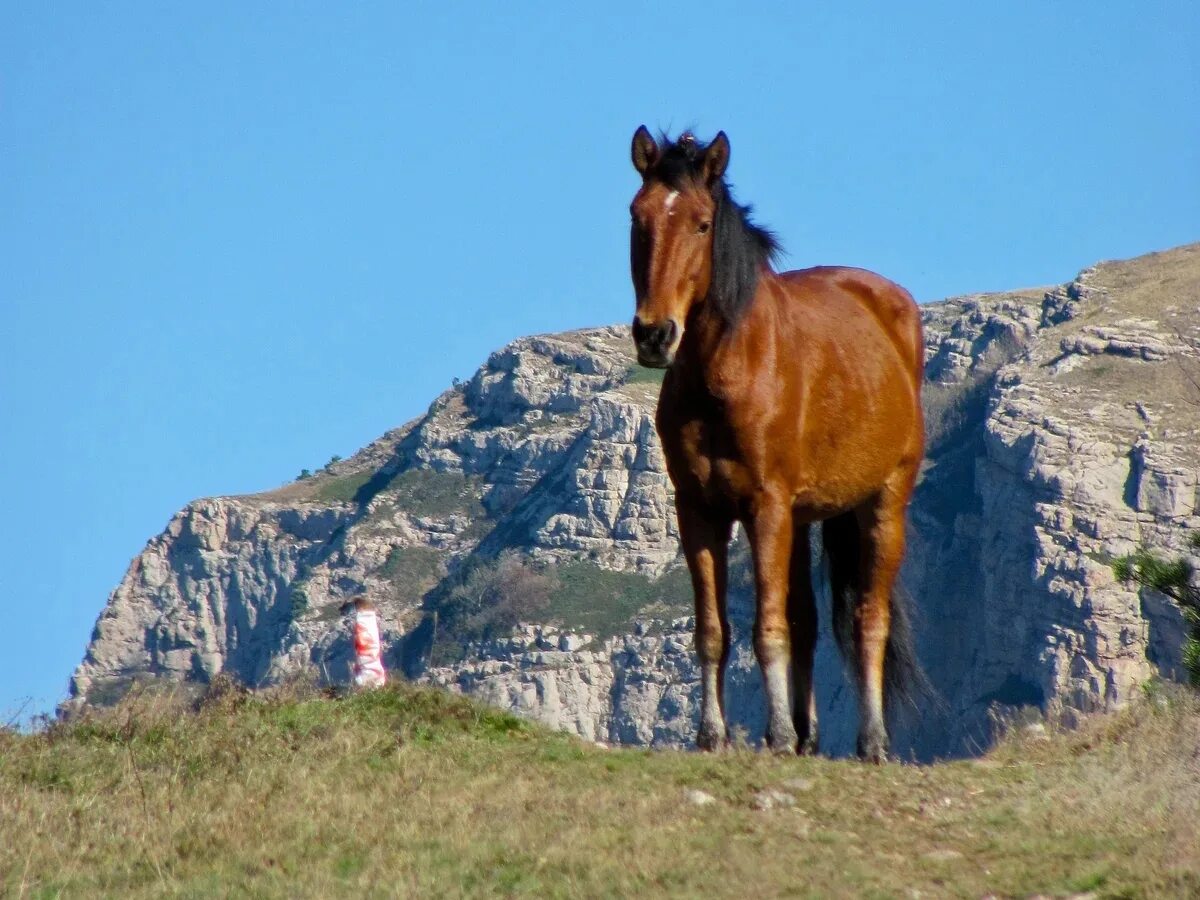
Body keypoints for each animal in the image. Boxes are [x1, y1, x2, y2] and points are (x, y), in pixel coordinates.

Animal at [628, 127, 926, 763]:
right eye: (638, 217)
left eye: (702, 224)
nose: (655, 334)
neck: (727, 371)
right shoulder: (699, 510)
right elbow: (713, 631)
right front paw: (713, 735)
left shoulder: (766, 508)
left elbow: (769, 630)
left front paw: (780, 736)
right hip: (805, 518)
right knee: (809, 621)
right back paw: (809, 735)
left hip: (882, 507)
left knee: (868, 617)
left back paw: (870, 741)